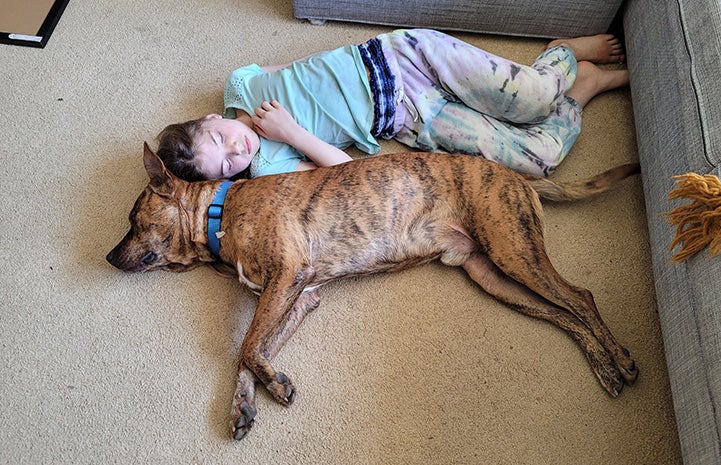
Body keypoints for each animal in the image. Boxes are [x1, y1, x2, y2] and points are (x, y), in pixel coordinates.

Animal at [105, 144, 636, 438]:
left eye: (132, 220)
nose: (107, 258)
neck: (220, 212)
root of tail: (516, 176)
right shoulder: (298, 297)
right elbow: (251, 352)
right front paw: (244, 404)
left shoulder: (288, 276)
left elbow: (248, 345)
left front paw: (274, 386)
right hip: (493, 275)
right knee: (562, 314)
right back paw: (603, 367)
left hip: (513, 250)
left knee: (580, 297)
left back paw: (621, 360)